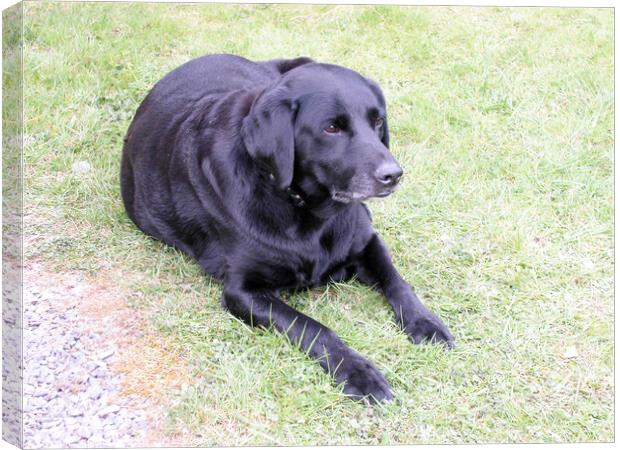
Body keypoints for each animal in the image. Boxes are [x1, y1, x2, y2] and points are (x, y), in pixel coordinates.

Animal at [121, 54, 452, 402]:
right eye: (331, 128)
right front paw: (359, 373)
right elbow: (313, 328)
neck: (308, 210)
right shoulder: (244, 292)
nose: (393, 174)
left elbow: (397, 281)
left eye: (377, 121)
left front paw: (425, 322)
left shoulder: (365, 241)